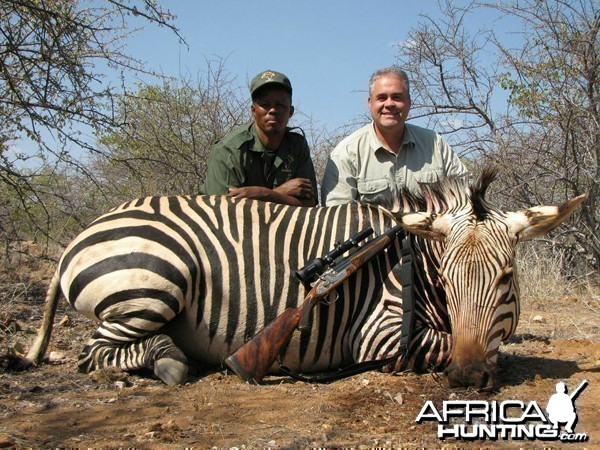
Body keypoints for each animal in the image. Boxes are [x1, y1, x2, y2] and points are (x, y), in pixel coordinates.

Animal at [24, 169, 584, 386]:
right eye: (446, 279)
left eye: (507, 277)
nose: (466, 378)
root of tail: (81, 234)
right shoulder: (377, 334)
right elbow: (455, 346)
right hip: (154, 283)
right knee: (95, 353)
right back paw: (171, 361)